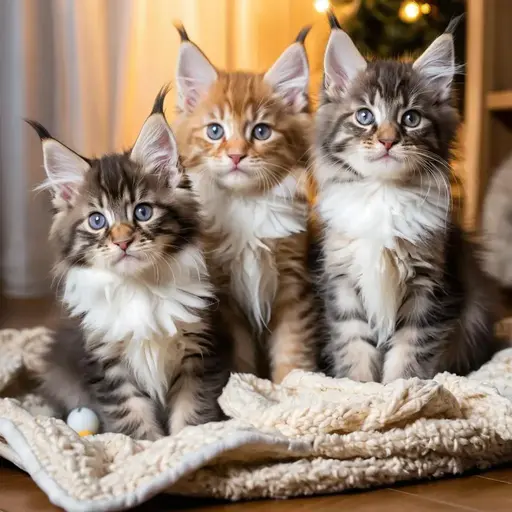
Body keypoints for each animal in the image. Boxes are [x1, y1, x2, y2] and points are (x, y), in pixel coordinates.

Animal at [28, 89, 228, 440]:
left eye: (142, 212)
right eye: (97, 221)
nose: (122, 241)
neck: (139, 288)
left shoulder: (198, 352)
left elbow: (192, 411)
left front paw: (187, 443)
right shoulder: (106, 363)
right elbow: (132, 417)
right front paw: (150, 447)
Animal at [172, 26, 316, 382]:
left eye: (261, 131)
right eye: (215, 131)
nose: (236, 155)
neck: (245, 203)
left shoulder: (293, 285)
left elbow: (293, 348)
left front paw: (290, 386)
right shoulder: (224, 295)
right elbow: (239, 355)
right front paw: (240, 387)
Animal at [312, 12, 496, 382]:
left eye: (411, 118)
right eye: (364, 116)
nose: (387, 140)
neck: (384, 193)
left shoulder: (432, 287)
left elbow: (409, 354)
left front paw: (402, 392)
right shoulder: (342, 280)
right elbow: (354, 347)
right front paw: (357, 390)